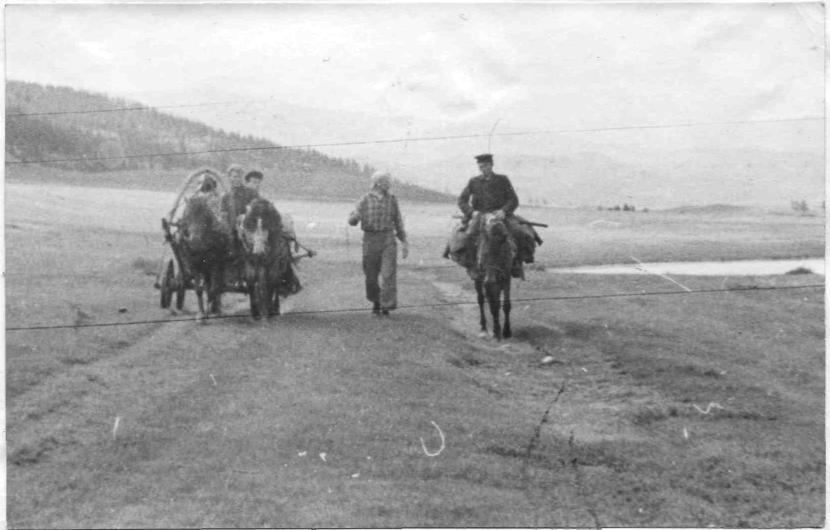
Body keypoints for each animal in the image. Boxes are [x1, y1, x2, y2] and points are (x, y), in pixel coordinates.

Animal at [464, 210, 516, 338]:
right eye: (485, 240)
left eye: (505, 238)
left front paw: (507, 331)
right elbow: (494, 305)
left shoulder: (506, 278)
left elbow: (506, 305)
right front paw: (496, 331)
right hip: (478, 280)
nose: (491, 278)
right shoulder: (487, 283)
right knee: (481, 300)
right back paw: (483, 327)